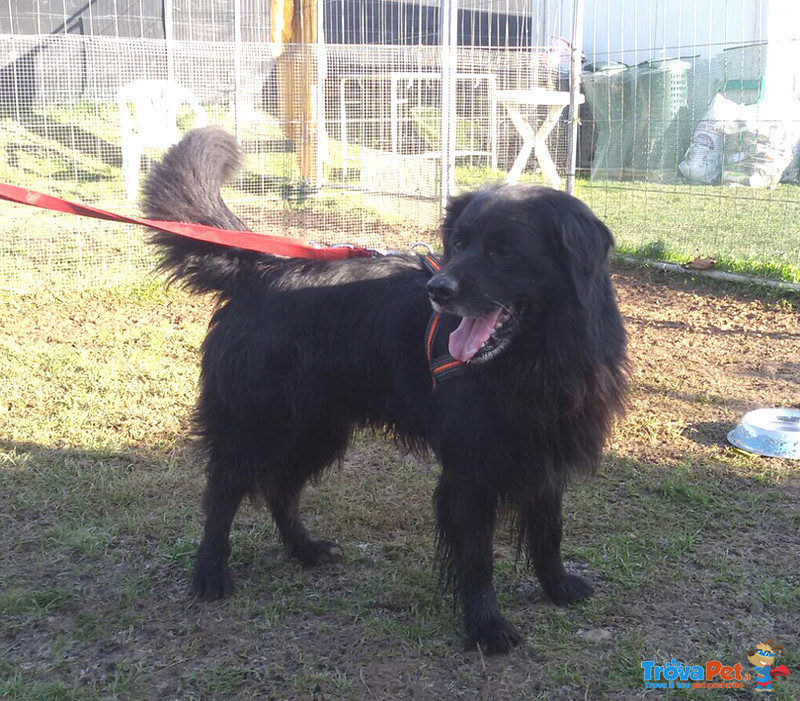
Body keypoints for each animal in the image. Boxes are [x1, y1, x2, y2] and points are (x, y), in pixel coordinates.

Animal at [147, 124, 628, 652]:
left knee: (279, 486)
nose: (438, 290)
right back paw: (211, 572)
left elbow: (549, 531)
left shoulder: (547, 455)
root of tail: (264, 267)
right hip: (254, 423)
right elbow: (477, 559)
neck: (534, 361)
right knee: (223, 491)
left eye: (505, 250)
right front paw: (486, 626)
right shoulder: (470, 470)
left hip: (318, 428)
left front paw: (557, 587)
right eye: (459, 244)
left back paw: (304, 549)